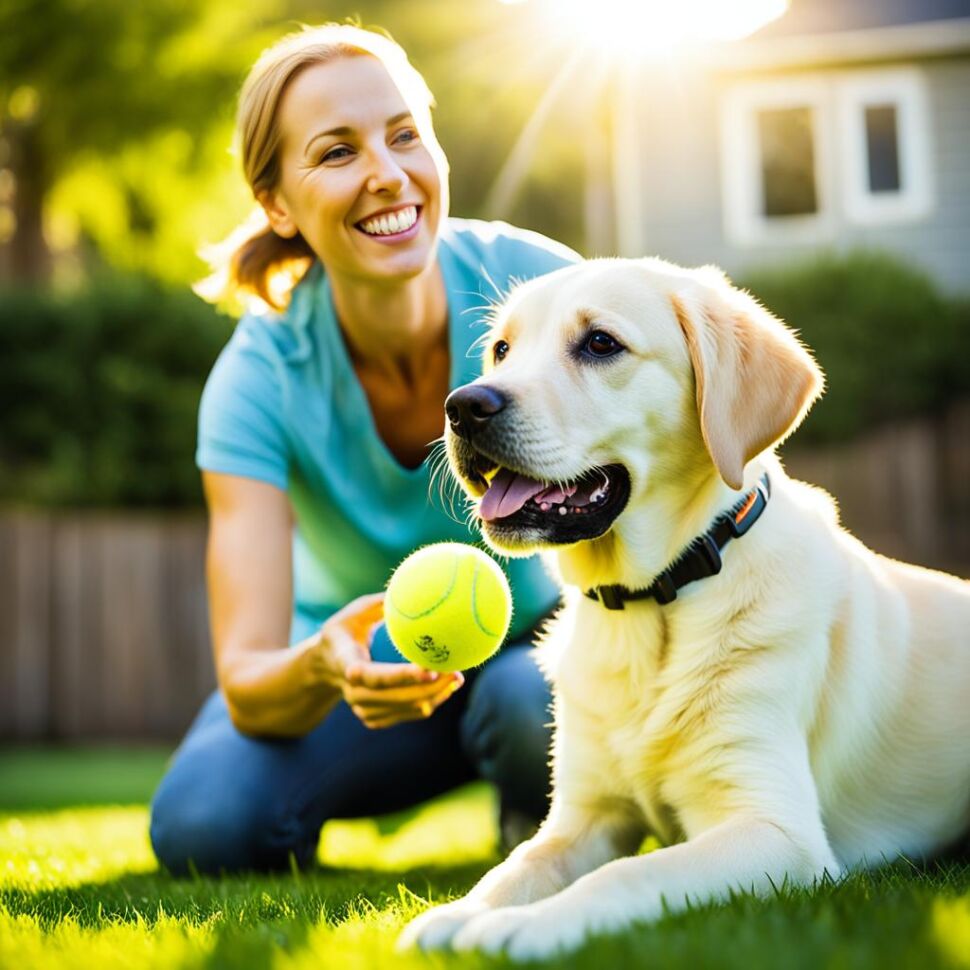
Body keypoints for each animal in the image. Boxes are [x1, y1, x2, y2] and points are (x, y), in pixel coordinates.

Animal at [396, 253, 968, 956]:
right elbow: (515, 867)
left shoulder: (778, 834)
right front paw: (458, 914)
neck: (652, 604)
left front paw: (520, 930)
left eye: (600, 343)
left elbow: (625, 875)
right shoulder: (582, 818)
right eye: (502, 350)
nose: (464, 407)